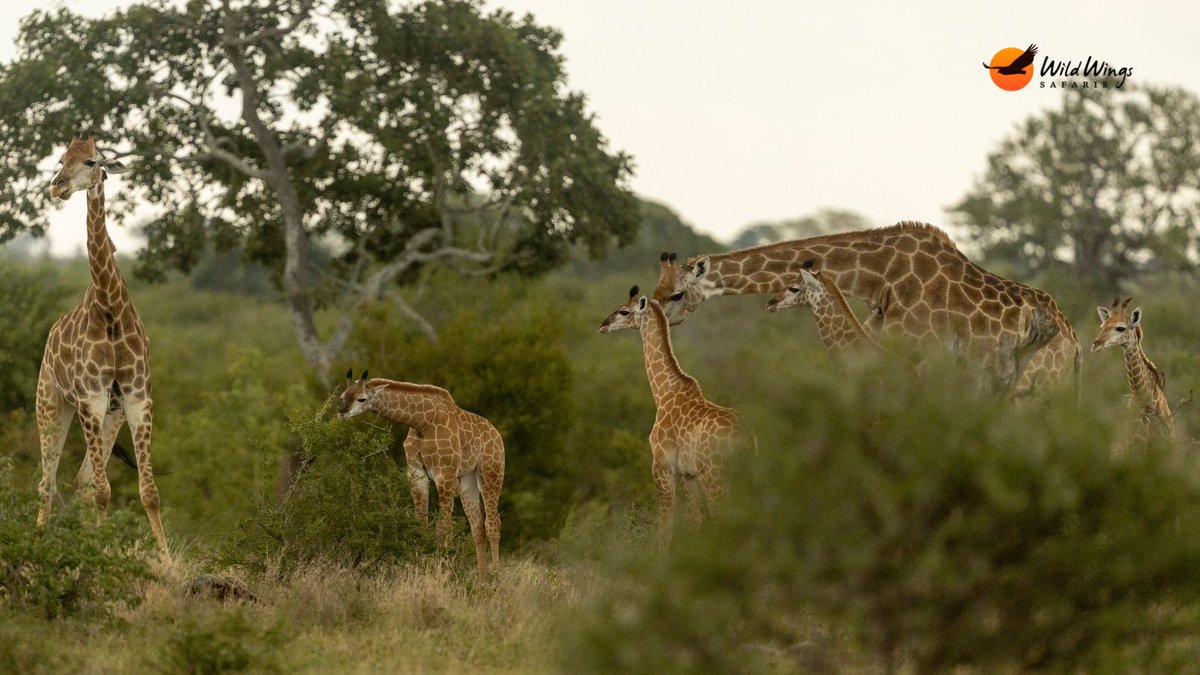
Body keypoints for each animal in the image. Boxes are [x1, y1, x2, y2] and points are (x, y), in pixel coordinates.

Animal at [35, 128, 169, 554]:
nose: (57, 186)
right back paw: (37, 544)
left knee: (78, 483)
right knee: (48, 483)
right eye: (61, 159)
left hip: (111, 415)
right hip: (51, 403)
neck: (110, 309)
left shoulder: (137, 398)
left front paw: (166, 560)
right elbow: (104, 491)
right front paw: (97, 555)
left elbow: (148, 492)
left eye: (92, 161)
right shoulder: (89, 399)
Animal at [340, 367, 504, 571]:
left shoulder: (445, 473)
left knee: (493, 523)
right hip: (468, 481)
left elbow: (443, 527)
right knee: (478, 526)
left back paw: (495, 576)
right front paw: (421, 567)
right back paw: (482, 577)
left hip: (491, 472)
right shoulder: (416, 474)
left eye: (361, 399)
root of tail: (497, 435)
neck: (422, 423)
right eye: (342, 396)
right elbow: (420, 526)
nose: (342, 413)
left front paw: (442, 569)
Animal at [597, 282, 753, 547]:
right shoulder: (688, 475)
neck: (664, 394)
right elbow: (693, 523)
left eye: (624, 311)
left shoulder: (662, 468)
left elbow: (665, 529)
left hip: (715, 475)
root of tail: (746, 439)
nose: (603, 325)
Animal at [652, 222, 1075, 393]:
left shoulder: (913, 356)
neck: (878, 276)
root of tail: (1073, 345)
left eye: (676, 295)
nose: (651, 317)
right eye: (656, 290)